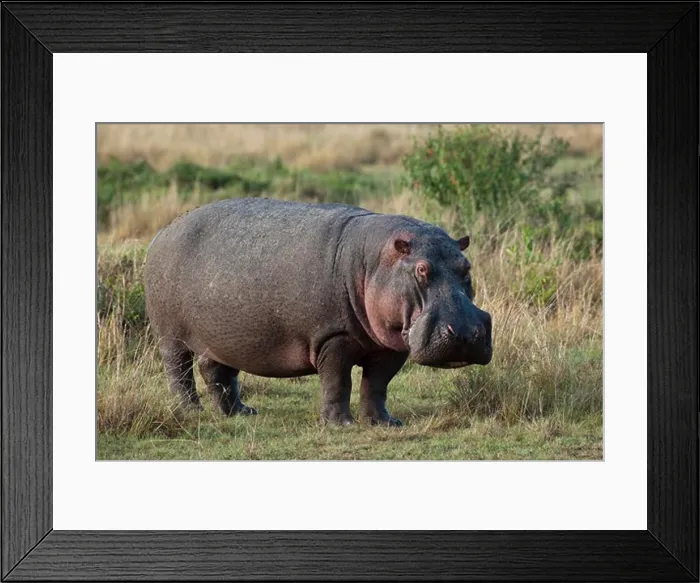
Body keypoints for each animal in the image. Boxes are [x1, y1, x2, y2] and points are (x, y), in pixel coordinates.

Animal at [144, 197, 492, 427]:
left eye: (466, 267)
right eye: (421, 270)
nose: (464, 334)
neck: (374, 261)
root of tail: (163, 231)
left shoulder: (391, 345)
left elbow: (377, 386)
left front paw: (385, 423)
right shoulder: (332, 337)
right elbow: (338, 382)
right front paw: (342, 425)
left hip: (223, 336)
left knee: (215, 369)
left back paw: (242, 413)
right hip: (170, 335)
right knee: (179, 371)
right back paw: (190, 411)